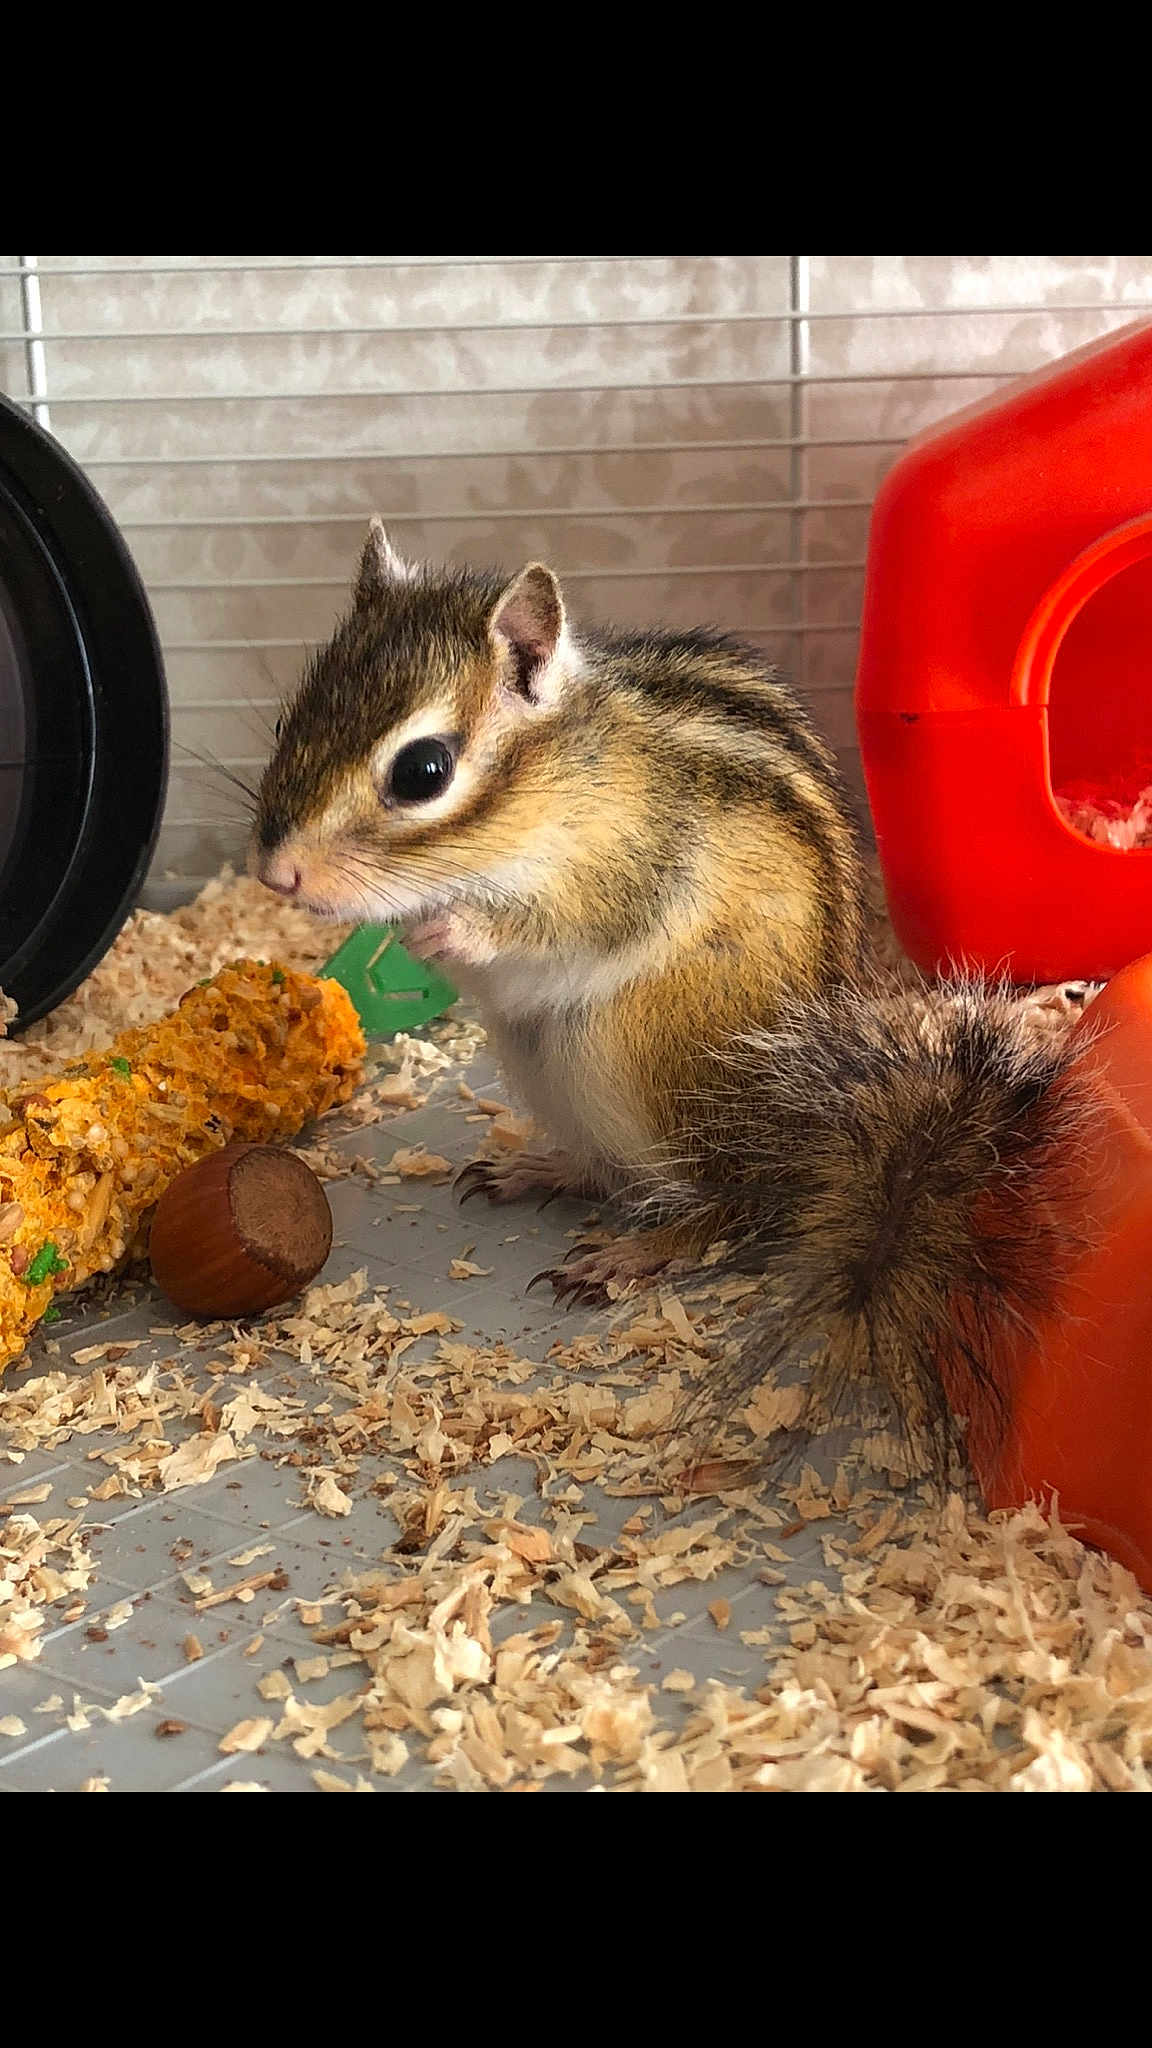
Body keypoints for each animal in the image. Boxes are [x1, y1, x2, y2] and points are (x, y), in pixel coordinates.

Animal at [253, 518, 1086, 1475]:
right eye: (291, 718)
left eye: (423, 770)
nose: (276, 876)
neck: (563, 780)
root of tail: (809, 1142)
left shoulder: (630, 864)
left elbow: (557, 924)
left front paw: (447, 932)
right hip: (545, 1065)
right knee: (619, 1172)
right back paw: (539, 1168)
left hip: (634, 1058)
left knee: (733, 1207)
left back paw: (634, 1252)